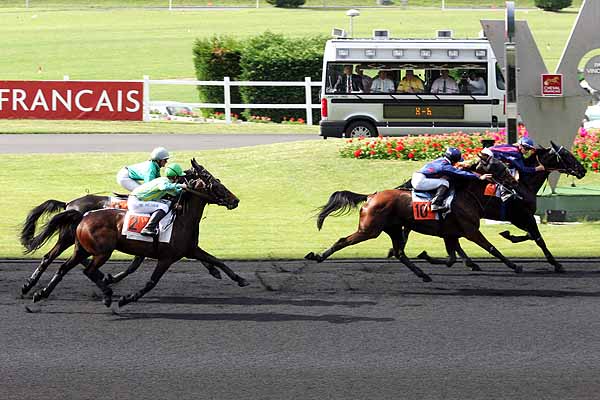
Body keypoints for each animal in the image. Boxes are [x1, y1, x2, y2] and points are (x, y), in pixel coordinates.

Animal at [27, 160, 248, 310]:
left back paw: (38, 291)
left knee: (61, 265)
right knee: (68, 263)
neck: (180, 217)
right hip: (89, 247)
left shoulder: (189, 249)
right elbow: (150, 281)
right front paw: (125, 296)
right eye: (215, 184)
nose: (235, 200)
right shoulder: (166, 257)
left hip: (79, 246)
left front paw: (237, 278)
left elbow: (216, 259)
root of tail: (72, 206)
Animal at [308, 154, 524, 282]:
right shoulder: (470, 231)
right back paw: (318, 256)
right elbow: (492, 248)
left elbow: (452, 257)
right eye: (499, 167)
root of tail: (371, 196)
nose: (515, 182)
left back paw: (423, 274)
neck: (465, 194)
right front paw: (515, 266)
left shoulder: (451, 234)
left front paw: (428, 257)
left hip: (393, 228)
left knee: (400, 252)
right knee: (343, 241)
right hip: (369, 229)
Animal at [414, 141, 584, 272]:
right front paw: (557, 264)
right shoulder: (522, 215)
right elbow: (538, 238)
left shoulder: (518, 217)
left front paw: (508, 235)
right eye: (567, 155)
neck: (524, 184)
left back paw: (470, 263)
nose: (582, 170)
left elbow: (530, 235)